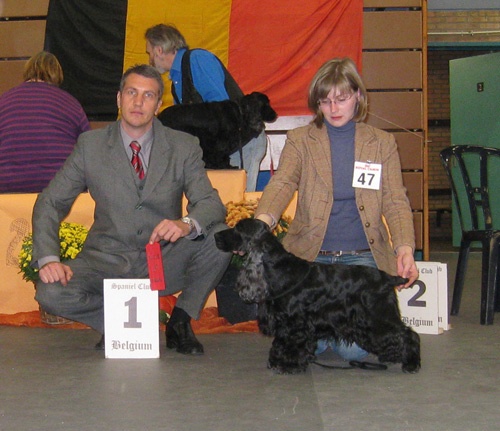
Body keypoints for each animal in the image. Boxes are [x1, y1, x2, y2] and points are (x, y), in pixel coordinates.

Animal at [215, 218, 421, 375]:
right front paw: (277, 361)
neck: (276, 268)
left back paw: (411, 364)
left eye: (238, 228)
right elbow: (280, 342)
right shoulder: (284, 322)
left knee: (407, 334)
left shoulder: (295, 323)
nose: (216, 236)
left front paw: (288, 365)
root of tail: (387, 277)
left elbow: (291, 343)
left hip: (377, 316)